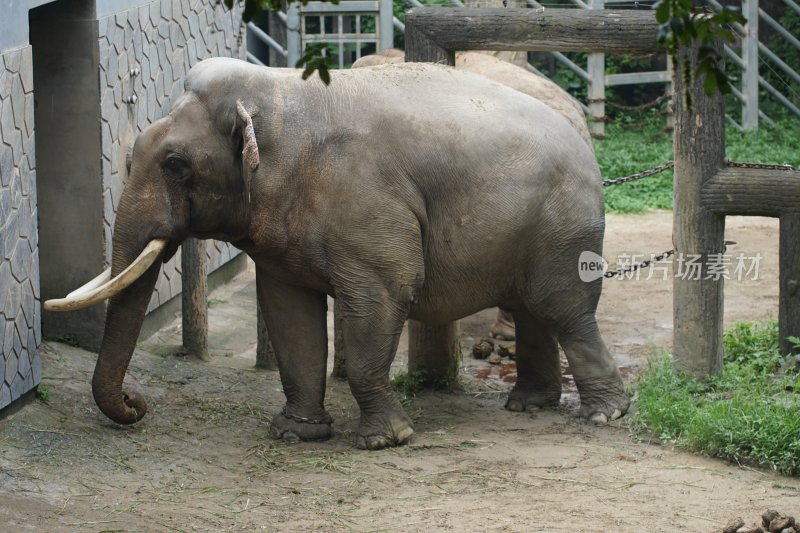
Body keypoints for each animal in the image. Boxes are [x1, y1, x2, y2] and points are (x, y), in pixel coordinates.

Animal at [47, 57, 628, 448]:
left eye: (175, 164)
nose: (136, 403)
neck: (277, 98)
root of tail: (583, 135)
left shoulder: (367, 206)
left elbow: (381, 299)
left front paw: (385, 440)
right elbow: (288, 314)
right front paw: (294, 434)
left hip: (565, 226)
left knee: (565, 310)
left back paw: (604, 416)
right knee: (532, 309)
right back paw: (527, 405)